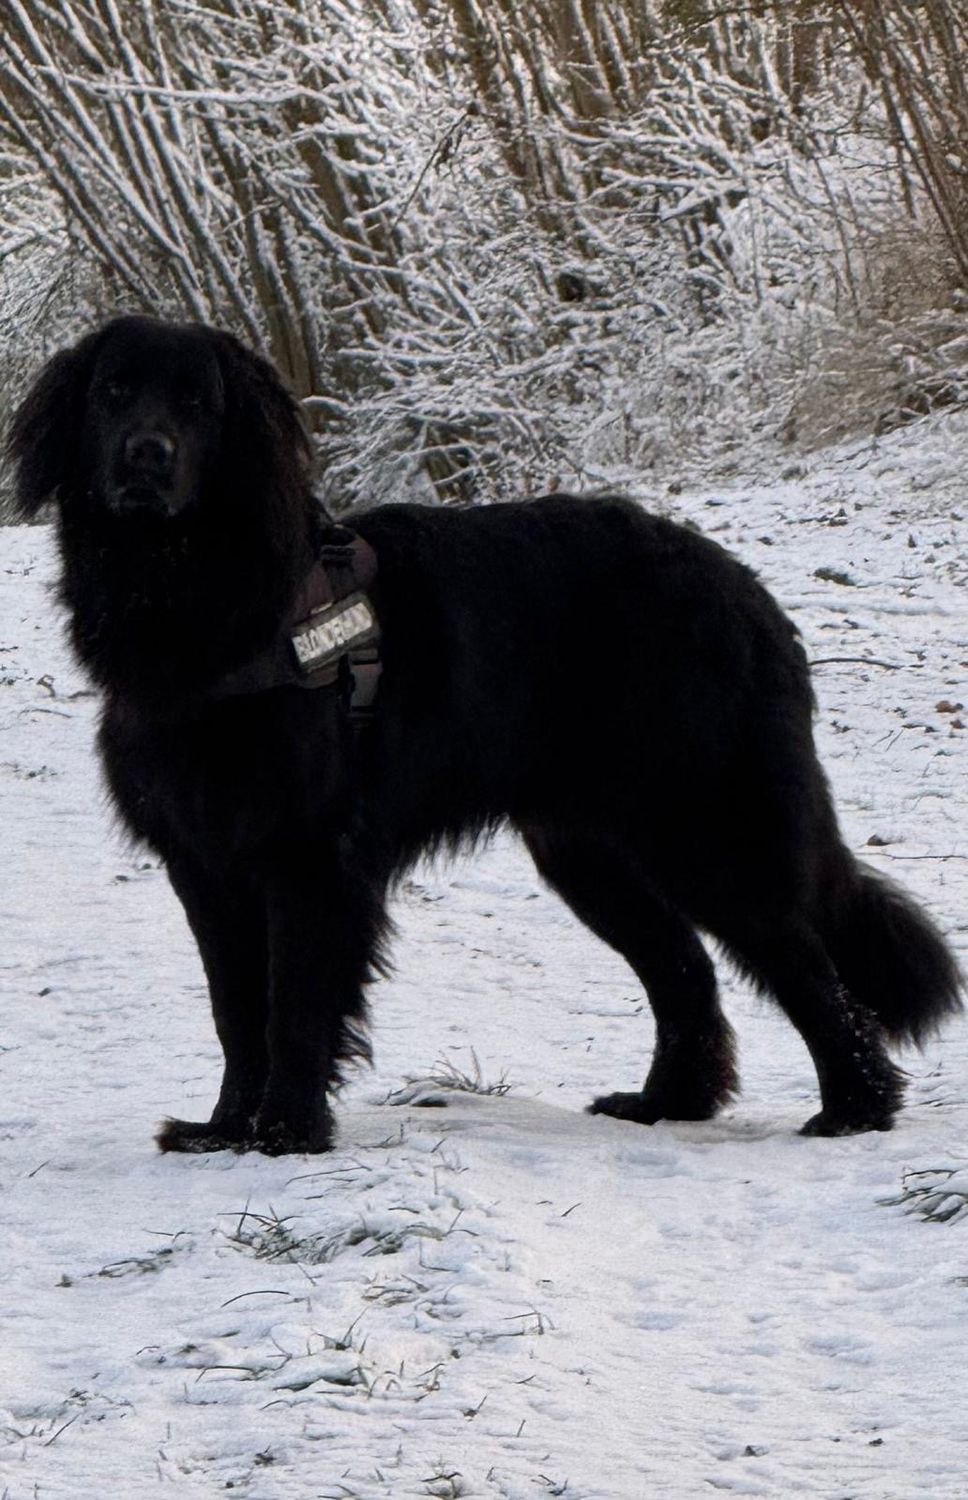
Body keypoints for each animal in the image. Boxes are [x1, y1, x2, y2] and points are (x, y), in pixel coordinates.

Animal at [8, 315, 962, 1154]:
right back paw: (668, 1102)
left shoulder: (308, 855)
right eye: (114, 392)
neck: (192, 590)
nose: (146, 455)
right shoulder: (203, 862)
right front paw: (224, 1131)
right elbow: (236, 1010)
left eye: (197, 403)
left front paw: (284, 1133)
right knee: (685, 971)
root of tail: (748, 592)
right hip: (591, 850)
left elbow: (296, 1005)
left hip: (704, 832)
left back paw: (854, 1110)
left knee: (809, 971)